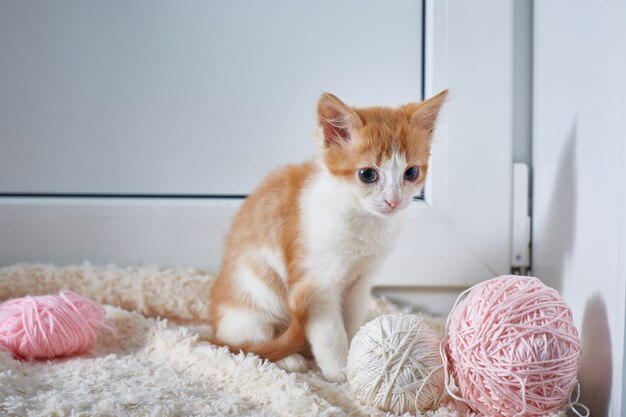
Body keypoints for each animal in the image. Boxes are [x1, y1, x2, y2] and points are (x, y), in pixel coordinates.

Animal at [208, 91, 444, 380]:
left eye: (411, 173)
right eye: (368, 174)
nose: (393, 201)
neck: (360, 218)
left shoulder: (361, 280)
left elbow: (351, 319)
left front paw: (358, 353)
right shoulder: (316, 282)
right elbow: (330, 333)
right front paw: (341, 373)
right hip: (252, 298)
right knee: (250, 344)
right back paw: (288, 358)